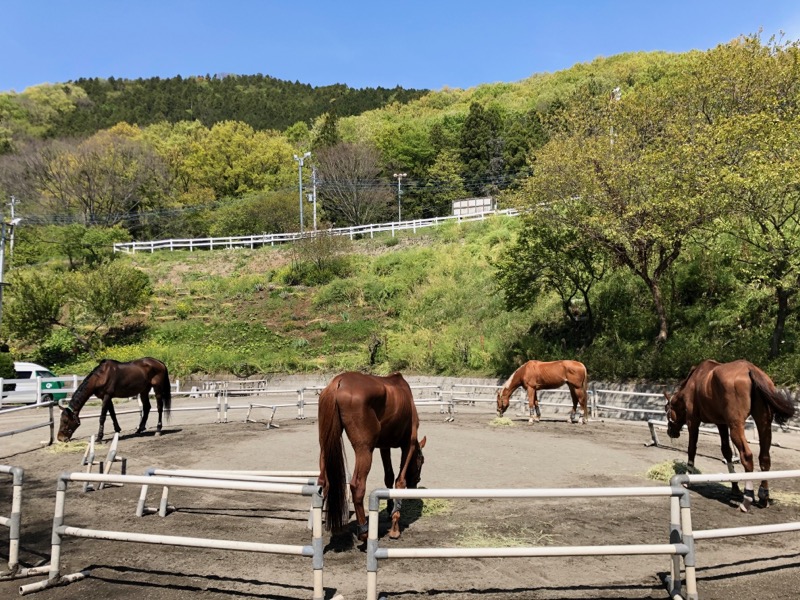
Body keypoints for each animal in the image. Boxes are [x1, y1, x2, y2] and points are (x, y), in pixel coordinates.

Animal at [318, 372, 428, 540]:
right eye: (421, 461)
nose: (415, 485)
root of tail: (338, 382)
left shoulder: (384, 446)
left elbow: (389, 476)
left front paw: (390, 509)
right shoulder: (408, 445)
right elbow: (399, 481)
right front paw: (395, 525)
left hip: (326, 444)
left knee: (323, 481)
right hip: (364, 449)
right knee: (357, 486)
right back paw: (364, 531)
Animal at [664, 360, 796, 510]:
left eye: (666, 409)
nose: (670, 432)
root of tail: (749, 368)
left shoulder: (693, 422)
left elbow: (692, 449)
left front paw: (687, 477)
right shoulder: (721, 424)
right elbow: (726, 452)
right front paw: (735, 488)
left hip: (735, 427)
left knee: (747, 456)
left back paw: (748, 497)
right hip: (764, 424)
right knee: (764, 458)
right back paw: (763, 496)